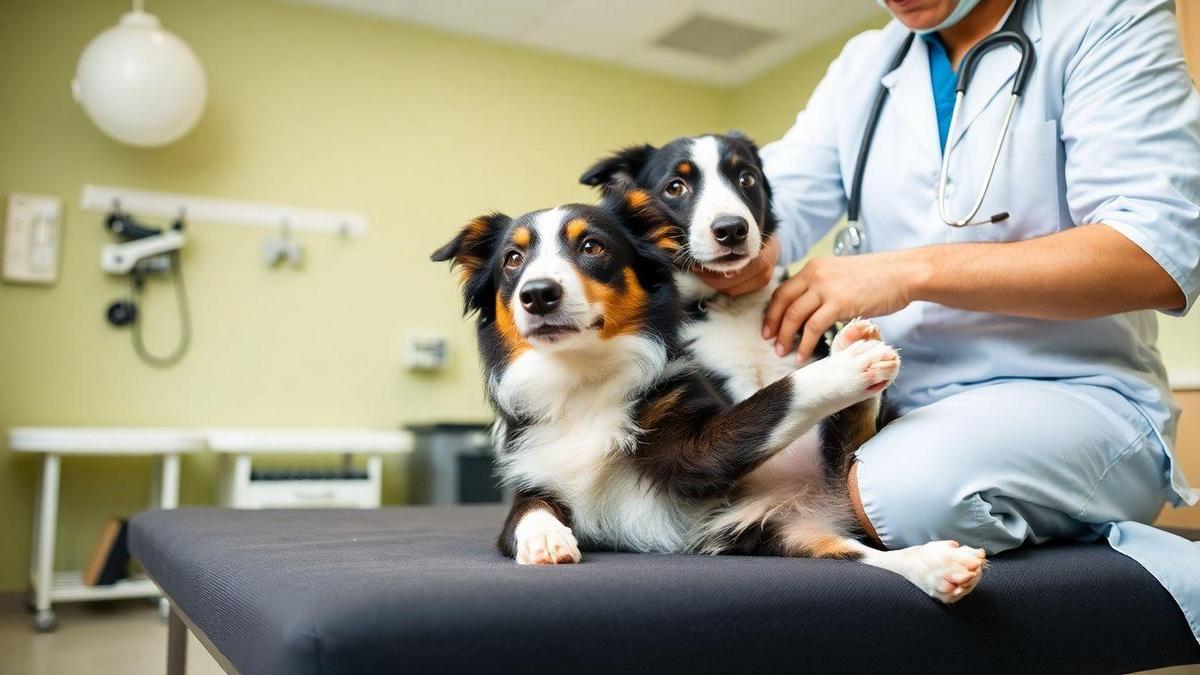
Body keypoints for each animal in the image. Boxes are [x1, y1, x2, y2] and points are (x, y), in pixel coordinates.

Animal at [432, 182, 984, 598]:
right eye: (513, 258)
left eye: (592, 247)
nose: (538, 294)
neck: (581, 378)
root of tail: (818, 504)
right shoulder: (535, 479)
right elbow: (527, 513)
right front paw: (546, 541)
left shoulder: (695, 452)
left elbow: (771, 400)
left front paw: (841, 370)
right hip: (777, 535)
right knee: (855, 551)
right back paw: (937, 566)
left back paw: (856, 351)